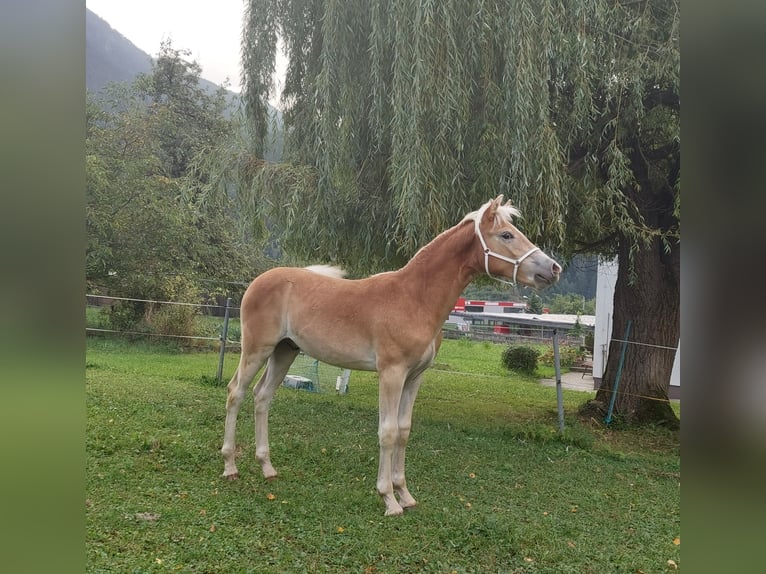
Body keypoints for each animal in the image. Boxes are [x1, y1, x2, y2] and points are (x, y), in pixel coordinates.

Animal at [219, 197, 560, 516]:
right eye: (506, 234)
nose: (553, 269)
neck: (414, 299)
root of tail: (258, 281)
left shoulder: (414, 377)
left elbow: (404, 431)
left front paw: (405, 494)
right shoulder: (391, 373)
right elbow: (388, 431)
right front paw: (388, 499)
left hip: (284, 351)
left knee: (263, 397)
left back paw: (267, 467)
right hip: (257, 349)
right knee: (236, 392)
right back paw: (230, 466)